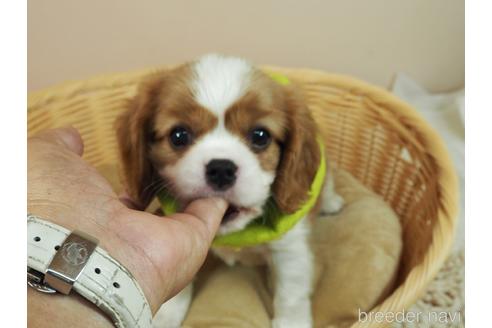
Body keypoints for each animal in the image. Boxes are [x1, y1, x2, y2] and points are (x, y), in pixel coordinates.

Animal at [117, 54, 344, 328]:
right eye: (178, 135)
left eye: (260, 136)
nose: (221, 169)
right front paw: (167, 315)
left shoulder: (291, 251)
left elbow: (291, 295)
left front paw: (292, 323)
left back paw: (332, 203)